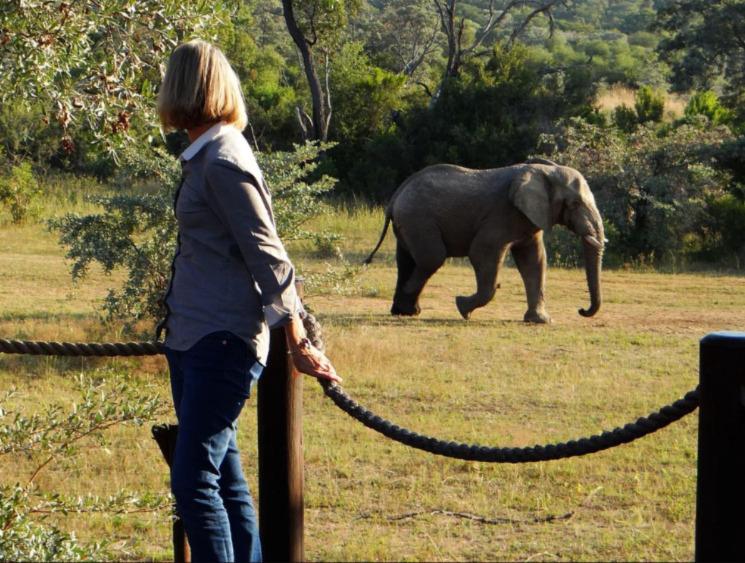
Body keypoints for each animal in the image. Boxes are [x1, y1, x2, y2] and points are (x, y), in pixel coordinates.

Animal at [363, 159, 605, 323]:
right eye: (574, 204)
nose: (581, 310)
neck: (544, 171)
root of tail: (396, 196)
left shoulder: (528, 218)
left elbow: (534, 261)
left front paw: (540, 321)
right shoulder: (501, 215)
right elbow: (483, 252)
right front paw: (462, 307)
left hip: (408, 223)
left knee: (406, 260)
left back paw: (404, 312)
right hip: (418, 220)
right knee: (432, 258)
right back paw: (410, 303)